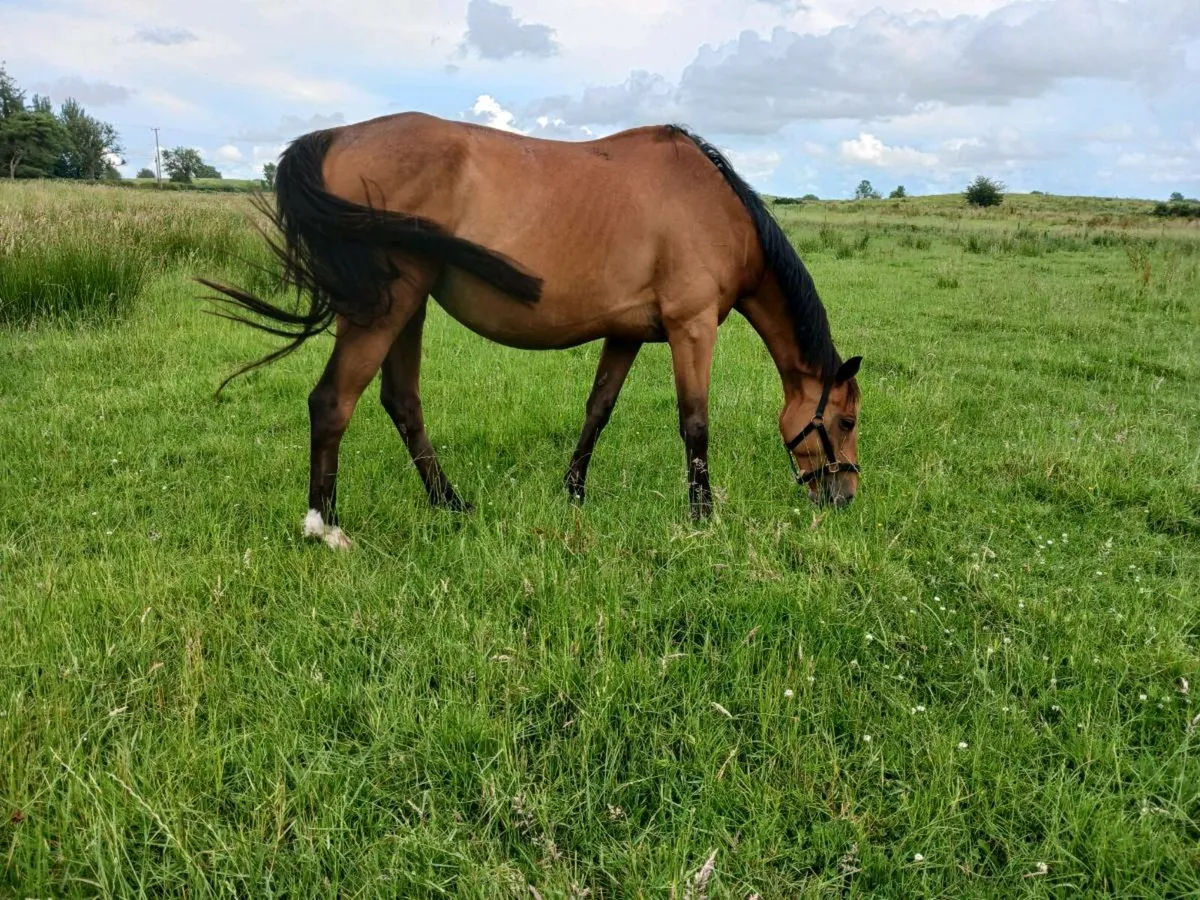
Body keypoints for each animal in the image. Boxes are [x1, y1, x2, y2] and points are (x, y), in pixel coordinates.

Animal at [201, 113, 862, 550]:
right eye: (847, 421)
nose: (845, 498)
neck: (716, 209)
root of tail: (336, 135)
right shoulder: (691, 327)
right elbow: (695, 423)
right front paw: (702, 517)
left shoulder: (625, 333)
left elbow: (598, 409)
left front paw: (573, 492)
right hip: (383, 309)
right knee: (333, 402)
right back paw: (325, 527)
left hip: (407, 308)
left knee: (401, 401)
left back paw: (450, 503)